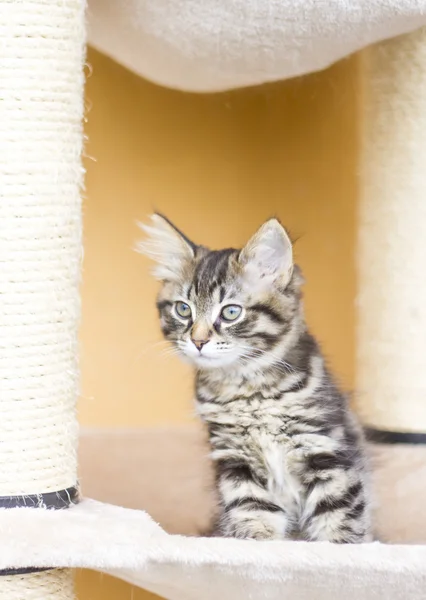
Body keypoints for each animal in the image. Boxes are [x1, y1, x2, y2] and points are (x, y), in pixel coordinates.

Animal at [138, 213, 372, 540]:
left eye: (231, 312)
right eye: (183, 310)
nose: (198, 341)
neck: (248, 390)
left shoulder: (324, 447)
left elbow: (339, 519)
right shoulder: (236, 460)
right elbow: (253, 514)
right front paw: (257, 545)